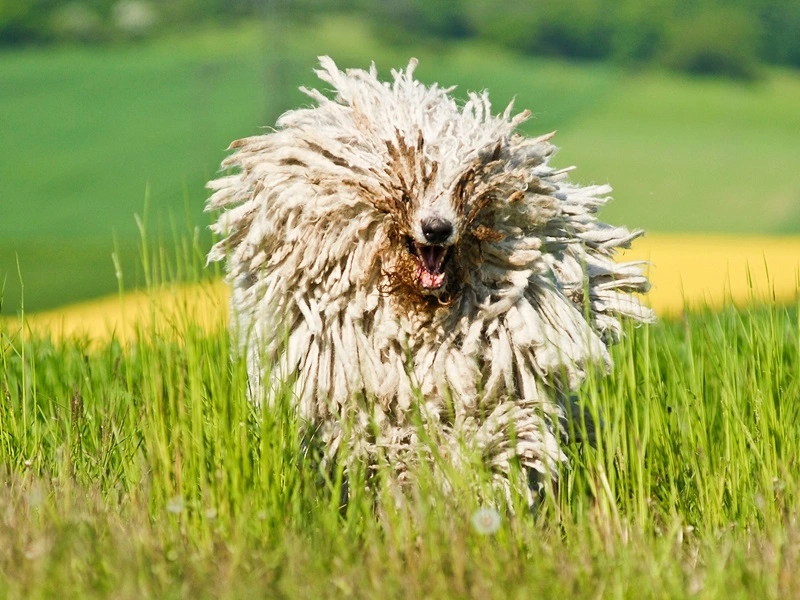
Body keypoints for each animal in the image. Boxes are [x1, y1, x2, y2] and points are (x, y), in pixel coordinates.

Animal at [208, 57, 656, 506]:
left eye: (466, 182)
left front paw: (473, 478)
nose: (437, 228)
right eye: (409, 180)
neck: (415, 309)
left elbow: (490, 426)